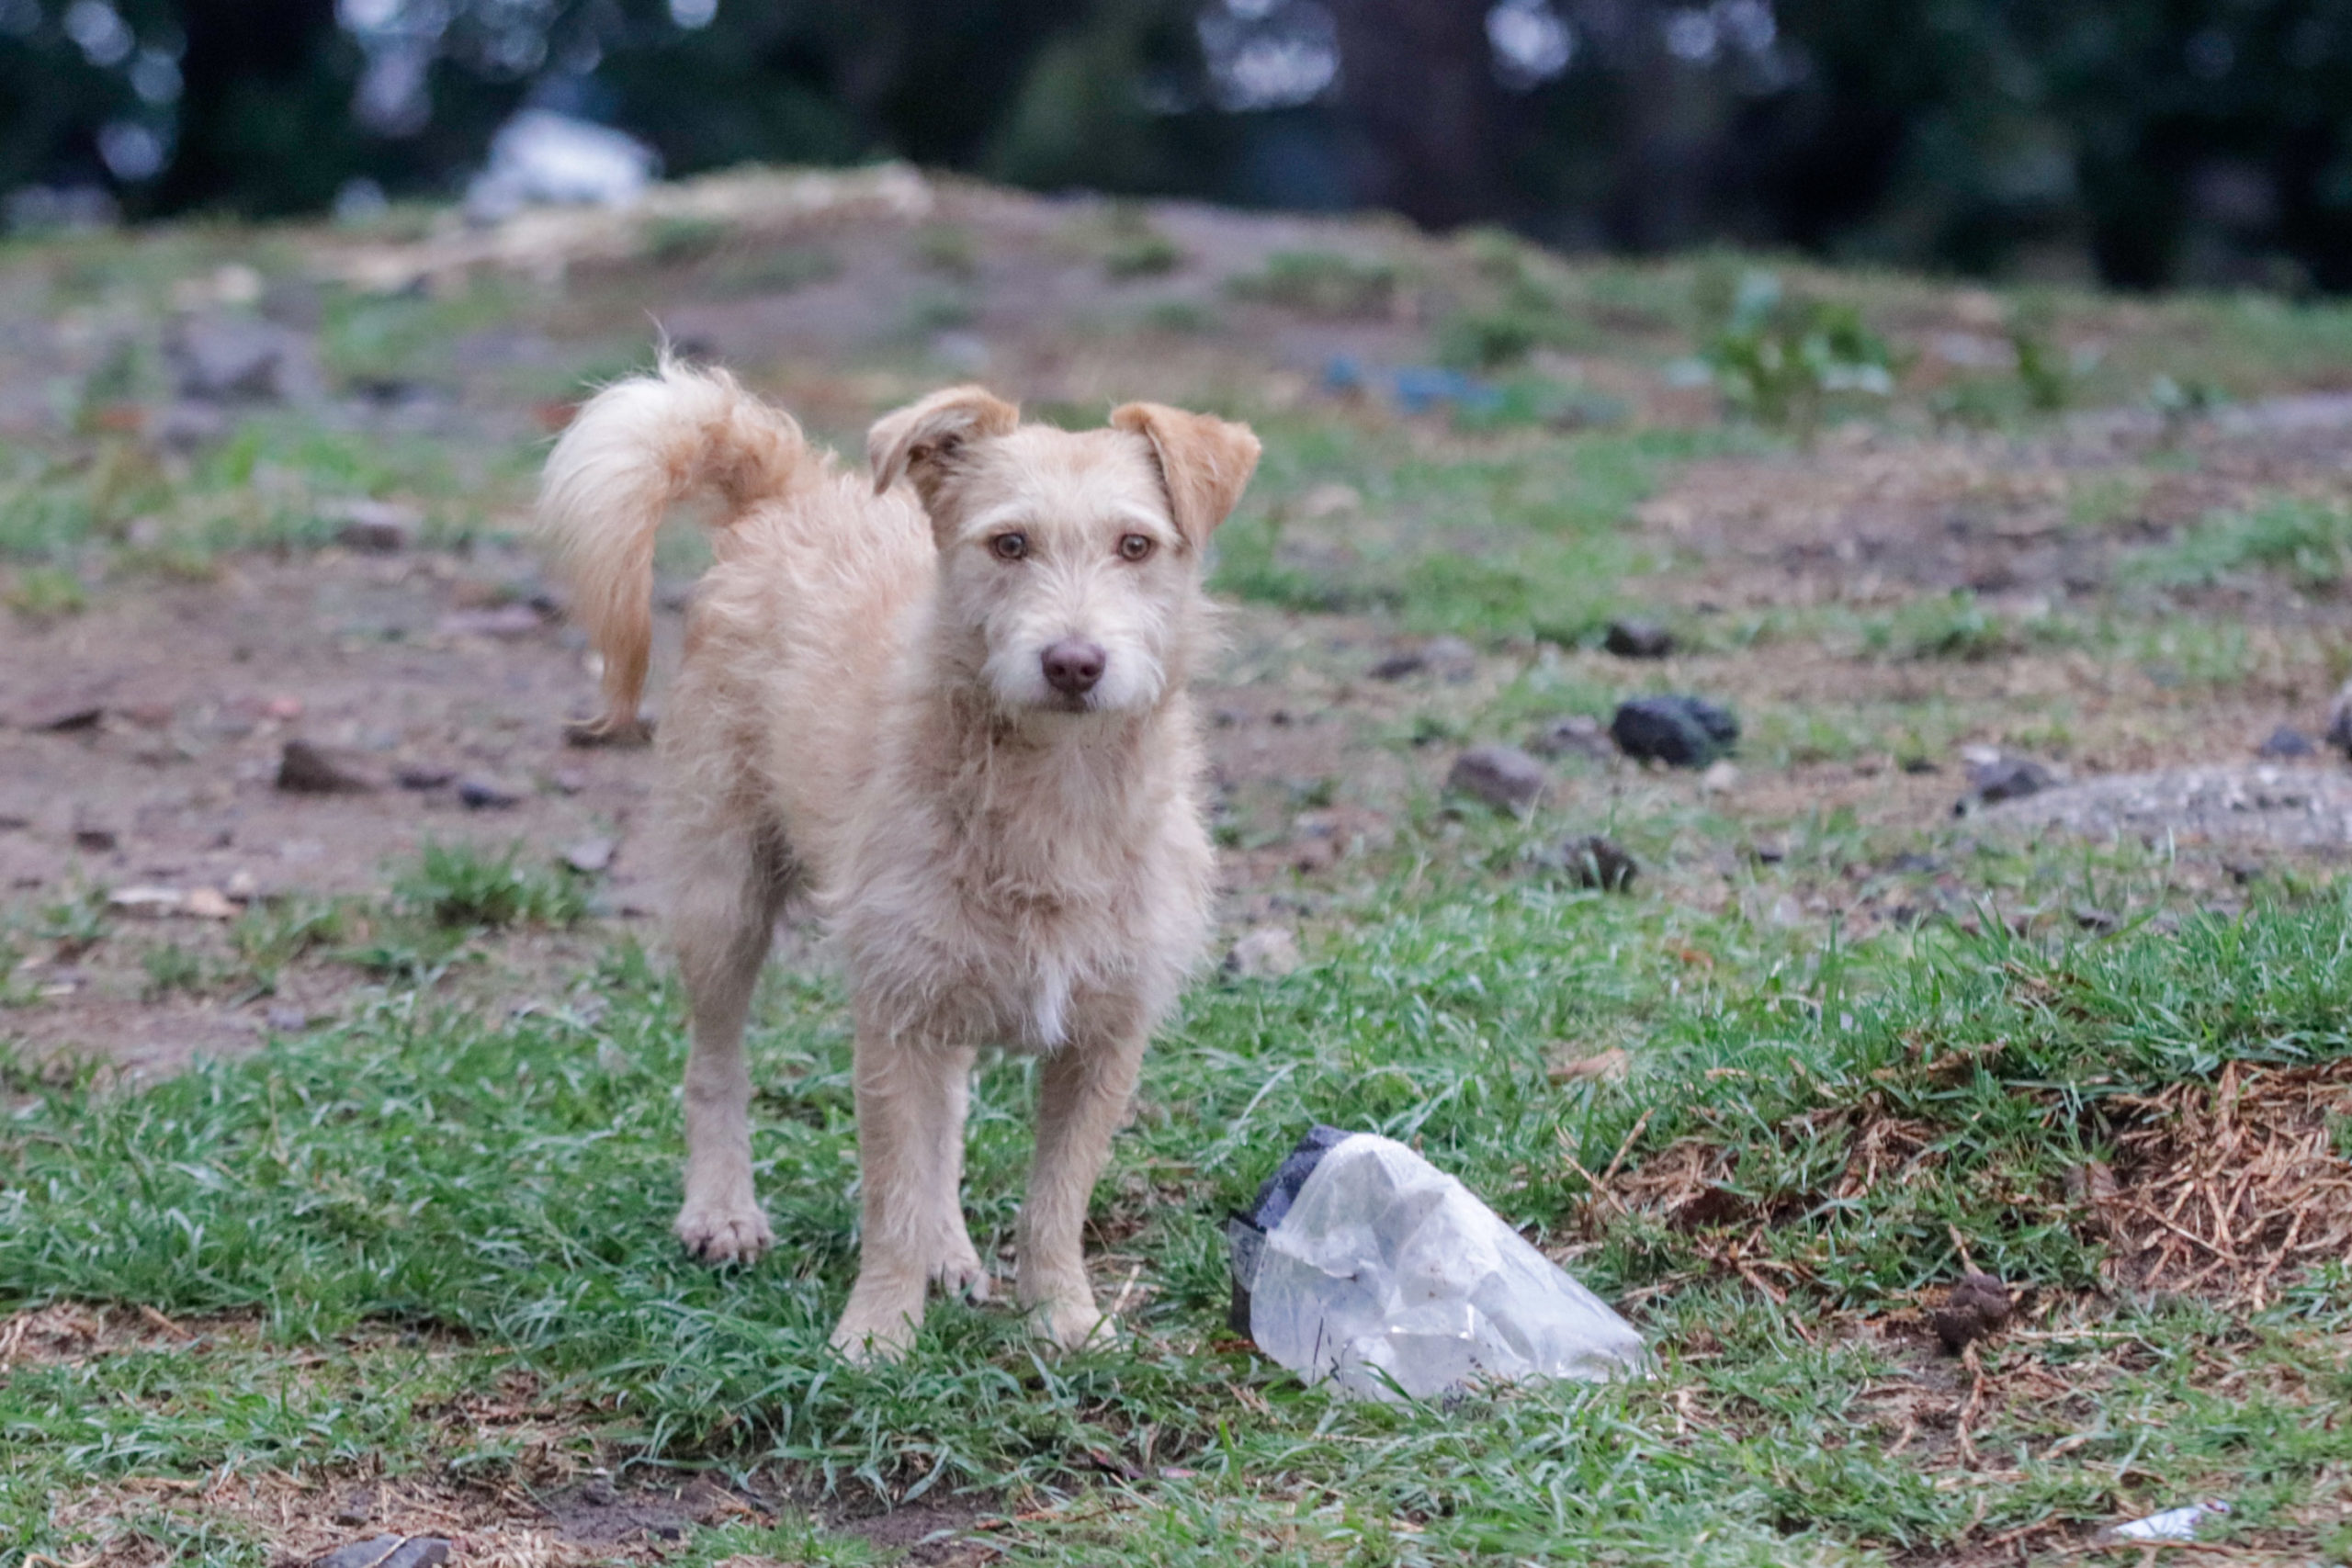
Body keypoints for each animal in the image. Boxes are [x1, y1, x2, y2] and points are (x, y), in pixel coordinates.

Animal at [538, 364, 1261, 1363]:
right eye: (1008, 544)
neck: (1054, 790)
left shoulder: (1107, 1033)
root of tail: (791, 489)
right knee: (714, 1061)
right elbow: (890, 1190)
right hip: (724, 895)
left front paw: (1062, 1318)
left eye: (1135, 545)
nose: (1074, 662)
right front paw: (878, 1333)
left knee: (946, 1120)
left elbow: (1056, 1195)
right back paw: (722, 1212)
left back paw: (950, 1251)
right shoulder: (891, 1017)